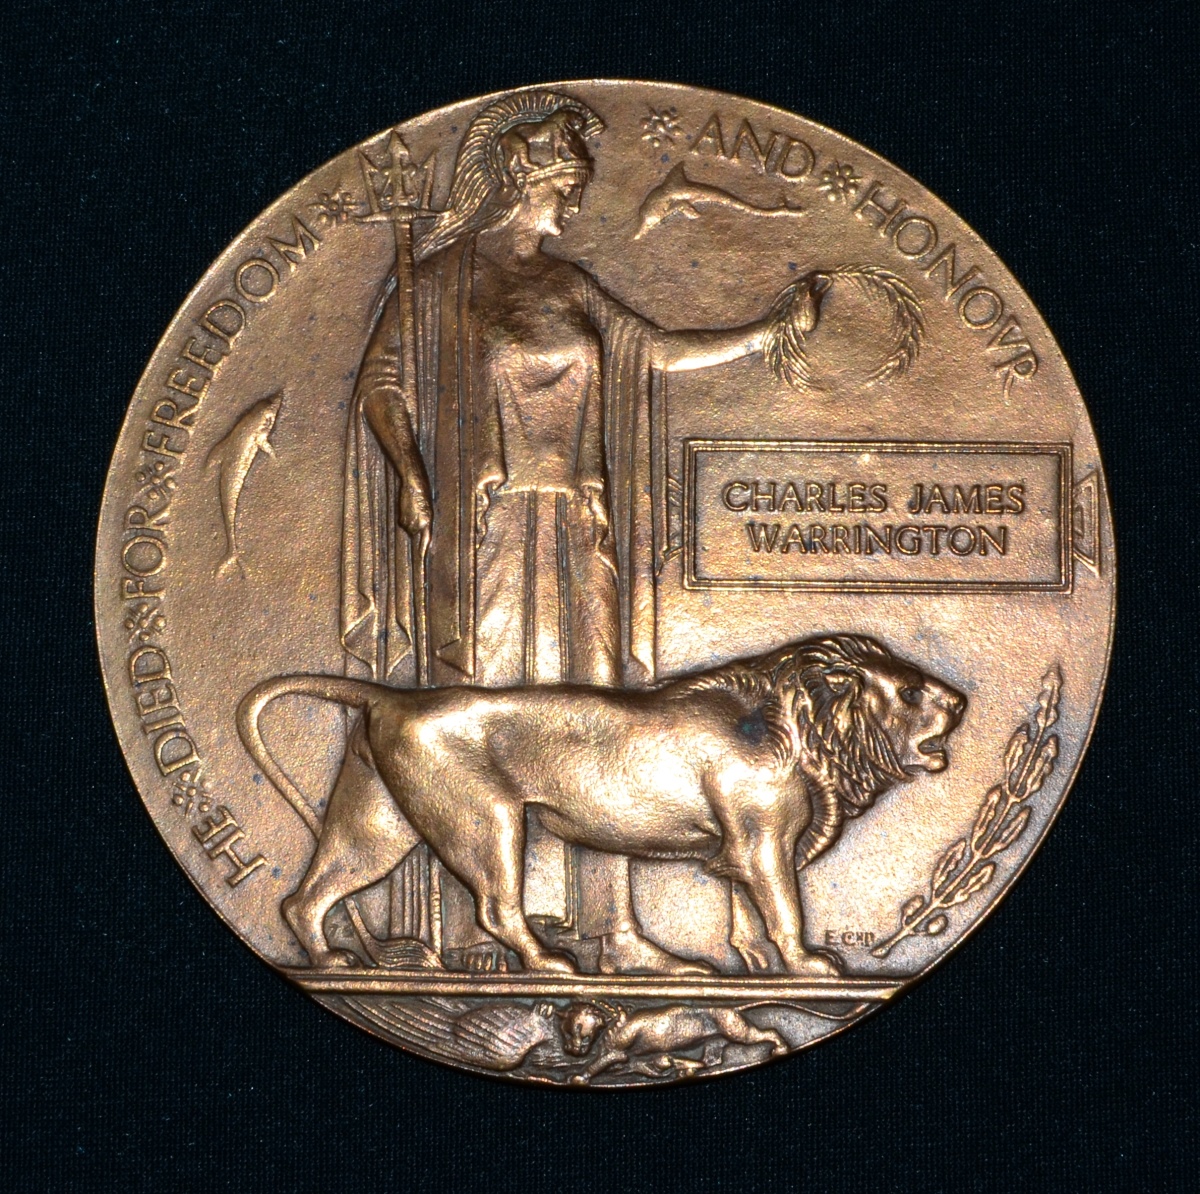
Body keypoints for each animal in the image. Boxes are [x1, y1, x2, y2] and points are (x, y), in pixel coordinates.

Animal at [237, 634, 964, 976]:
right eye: (907, 691)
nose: (958, 702)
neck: (803, 727)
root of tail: (393, 697)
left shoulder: (743, 847)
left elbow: (746, 913)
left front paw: (756, 966)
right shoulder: (761, 840)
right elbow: (784, 908)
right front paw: (807, 964)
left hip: (376, 828)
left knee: (304, 898)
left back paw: (328, 960)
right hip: (486, 822)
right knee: (497, 909)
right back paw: (545, 965)